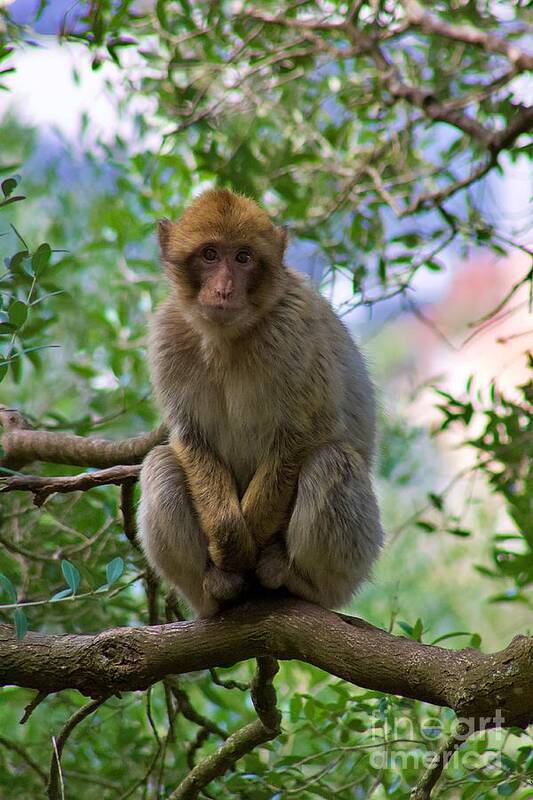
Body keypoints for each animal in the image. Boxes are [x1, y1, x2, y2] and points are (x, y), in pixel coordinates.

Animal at [135, 191, 380, 616]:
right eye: (210, 254)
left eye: (243, 257)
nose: (224, 288)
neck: (226, 337)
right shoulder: (167, 336)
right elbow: (190, 437)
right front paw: (231, 542)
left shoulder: (295, 330)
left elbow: (306, 431)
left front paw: (250, 536)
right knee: (160, 463)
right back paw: (219, 586)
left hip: (348, 576)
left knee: (332, 460)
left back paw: (295, 579)